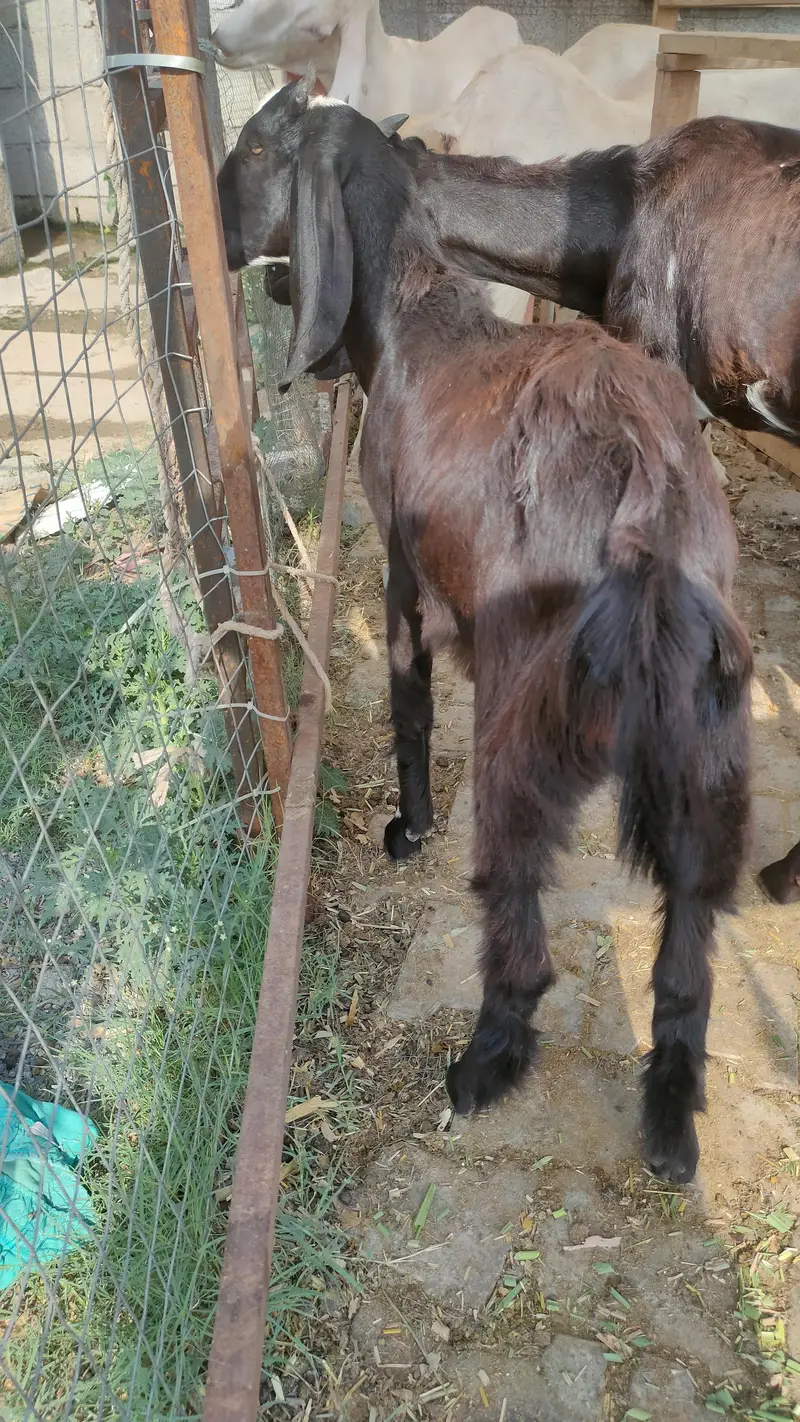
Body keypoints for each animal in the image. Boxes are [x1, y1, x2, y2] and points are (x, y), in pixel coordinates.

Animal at [219, 76, 752, 1184]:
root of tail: (642, 471)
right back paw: (668, 1129)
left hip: (519, 740)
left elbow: (409, 707)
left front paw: (407, 828)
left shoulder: (400, 576)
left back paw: (480, 1066)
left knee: (522, 935)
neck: (413, 315)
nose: (221, 223)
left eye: (254, 150)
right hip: (707, 760)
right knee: (687, 965)